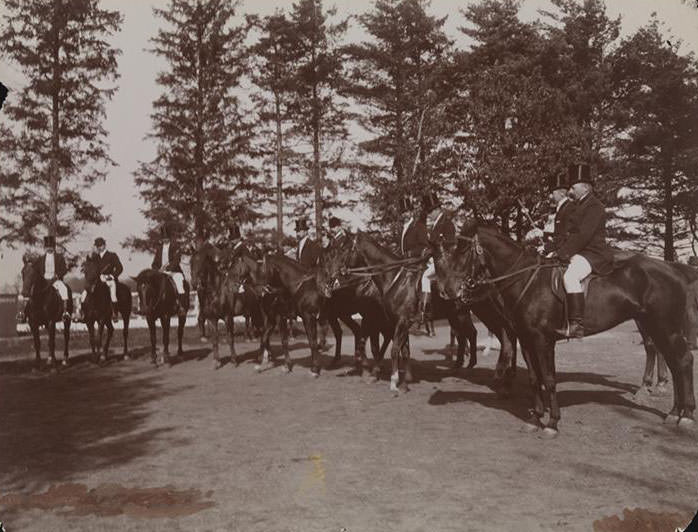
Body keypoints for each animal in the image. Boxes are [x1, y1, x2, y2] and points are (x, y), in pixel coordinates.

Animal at [189, 242, 262, 370]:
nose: (194, 283)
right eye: (191, 262)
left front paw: (234, 360)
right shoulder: (212, 319)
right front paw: (216, 361)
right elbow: (214, 340)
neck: (216, 292)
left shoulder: (228, 317)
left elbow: (230, 338)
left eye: (201, 263)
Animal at [438, 220, 692, 436]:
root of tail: (673, 269)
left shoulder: (543, 341)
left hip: (666, 328)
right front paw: (535, 419)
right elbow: (534, 378)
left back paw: (686, 416)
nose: (448, 291)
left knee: (683, 362)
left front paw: (552, 423)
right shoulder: (527, 339)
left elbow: (549, 379)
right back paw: (674, 413)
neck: (527, 280)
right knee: (674, 364)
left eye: (463, 251)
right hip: (655, 327)